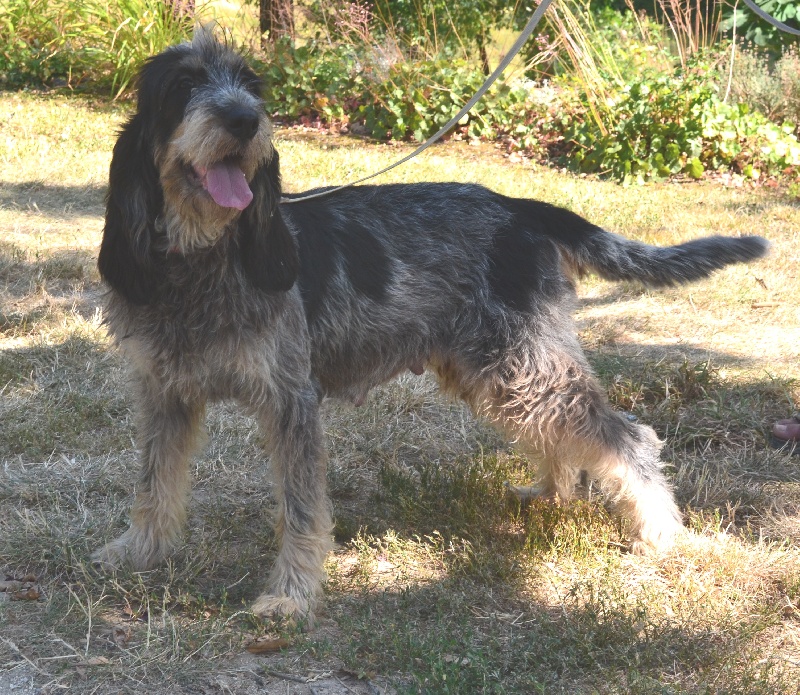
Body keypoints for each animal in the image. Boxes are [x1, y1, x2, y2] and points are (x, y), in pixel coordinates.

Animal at [94, 29, 768, 624]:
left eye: (252, 86)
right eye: (185, 86)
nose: (244, 120)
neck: (204, 259)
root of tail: (519, 208)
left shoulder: (292, 404)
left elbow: (302, 511)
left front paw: (292, 595)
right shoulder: (166, 396)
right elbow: (154, 482)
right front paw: (141, 550)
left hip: (523, 366)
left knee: (628, 436)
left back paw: (658, 533)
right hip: (503, 375)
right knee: (567, 436)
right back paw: (552, 493)